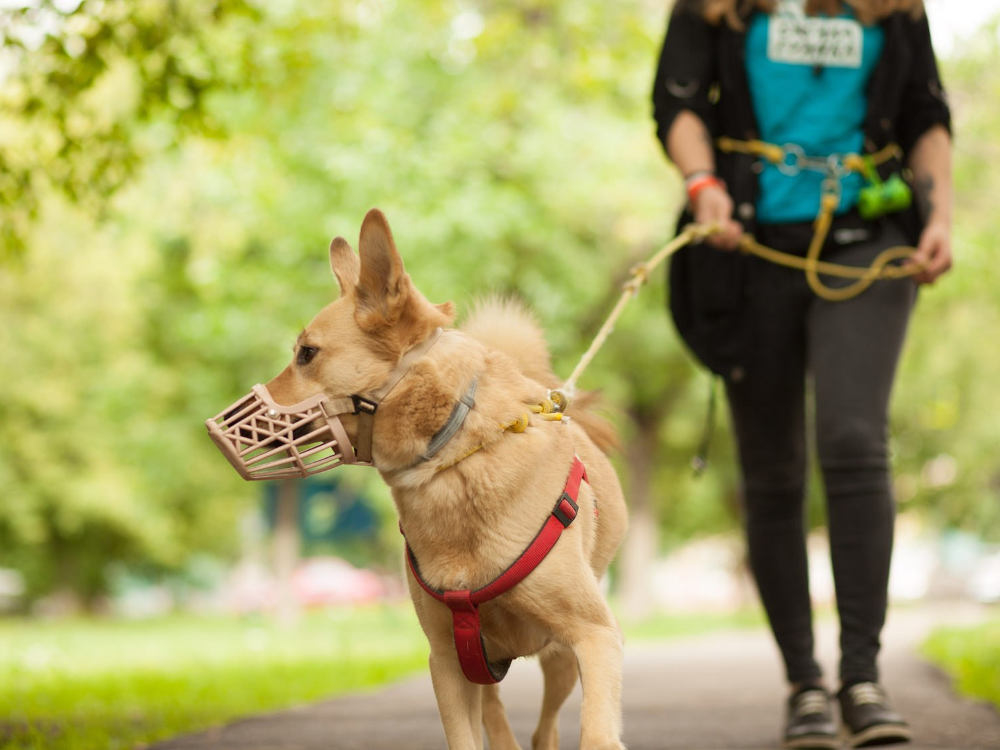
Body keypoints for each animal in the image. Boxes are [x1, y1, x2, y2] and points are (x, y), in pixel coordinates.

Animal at [216, 210, 628, 750]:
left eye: (307, 353)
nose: (214, 428)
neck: (452, 462)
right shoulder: (449, 662)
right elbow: (465, 739)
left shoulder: (594, 637)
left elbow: (597, 731)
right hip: (483, 664)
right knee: (500, 721)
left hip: (559, 659)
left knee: (545, 728)